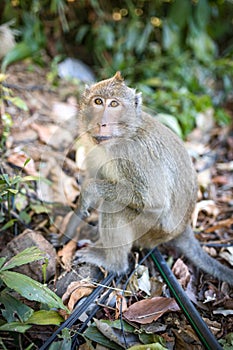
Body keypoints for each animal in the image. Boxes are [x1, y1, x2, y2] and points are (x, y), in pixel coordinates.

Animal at [64, 72, 233, 284]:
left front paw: (89, 190)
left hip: (151, 231)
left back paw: (114, 264)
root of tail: (183, 227)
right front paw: (70, 226)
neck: (124, 135)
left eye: (114, 104)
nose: (102, 122)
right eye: (98, 101)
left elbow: (154, 201)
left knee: (114, 206)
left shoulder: (135, 156)